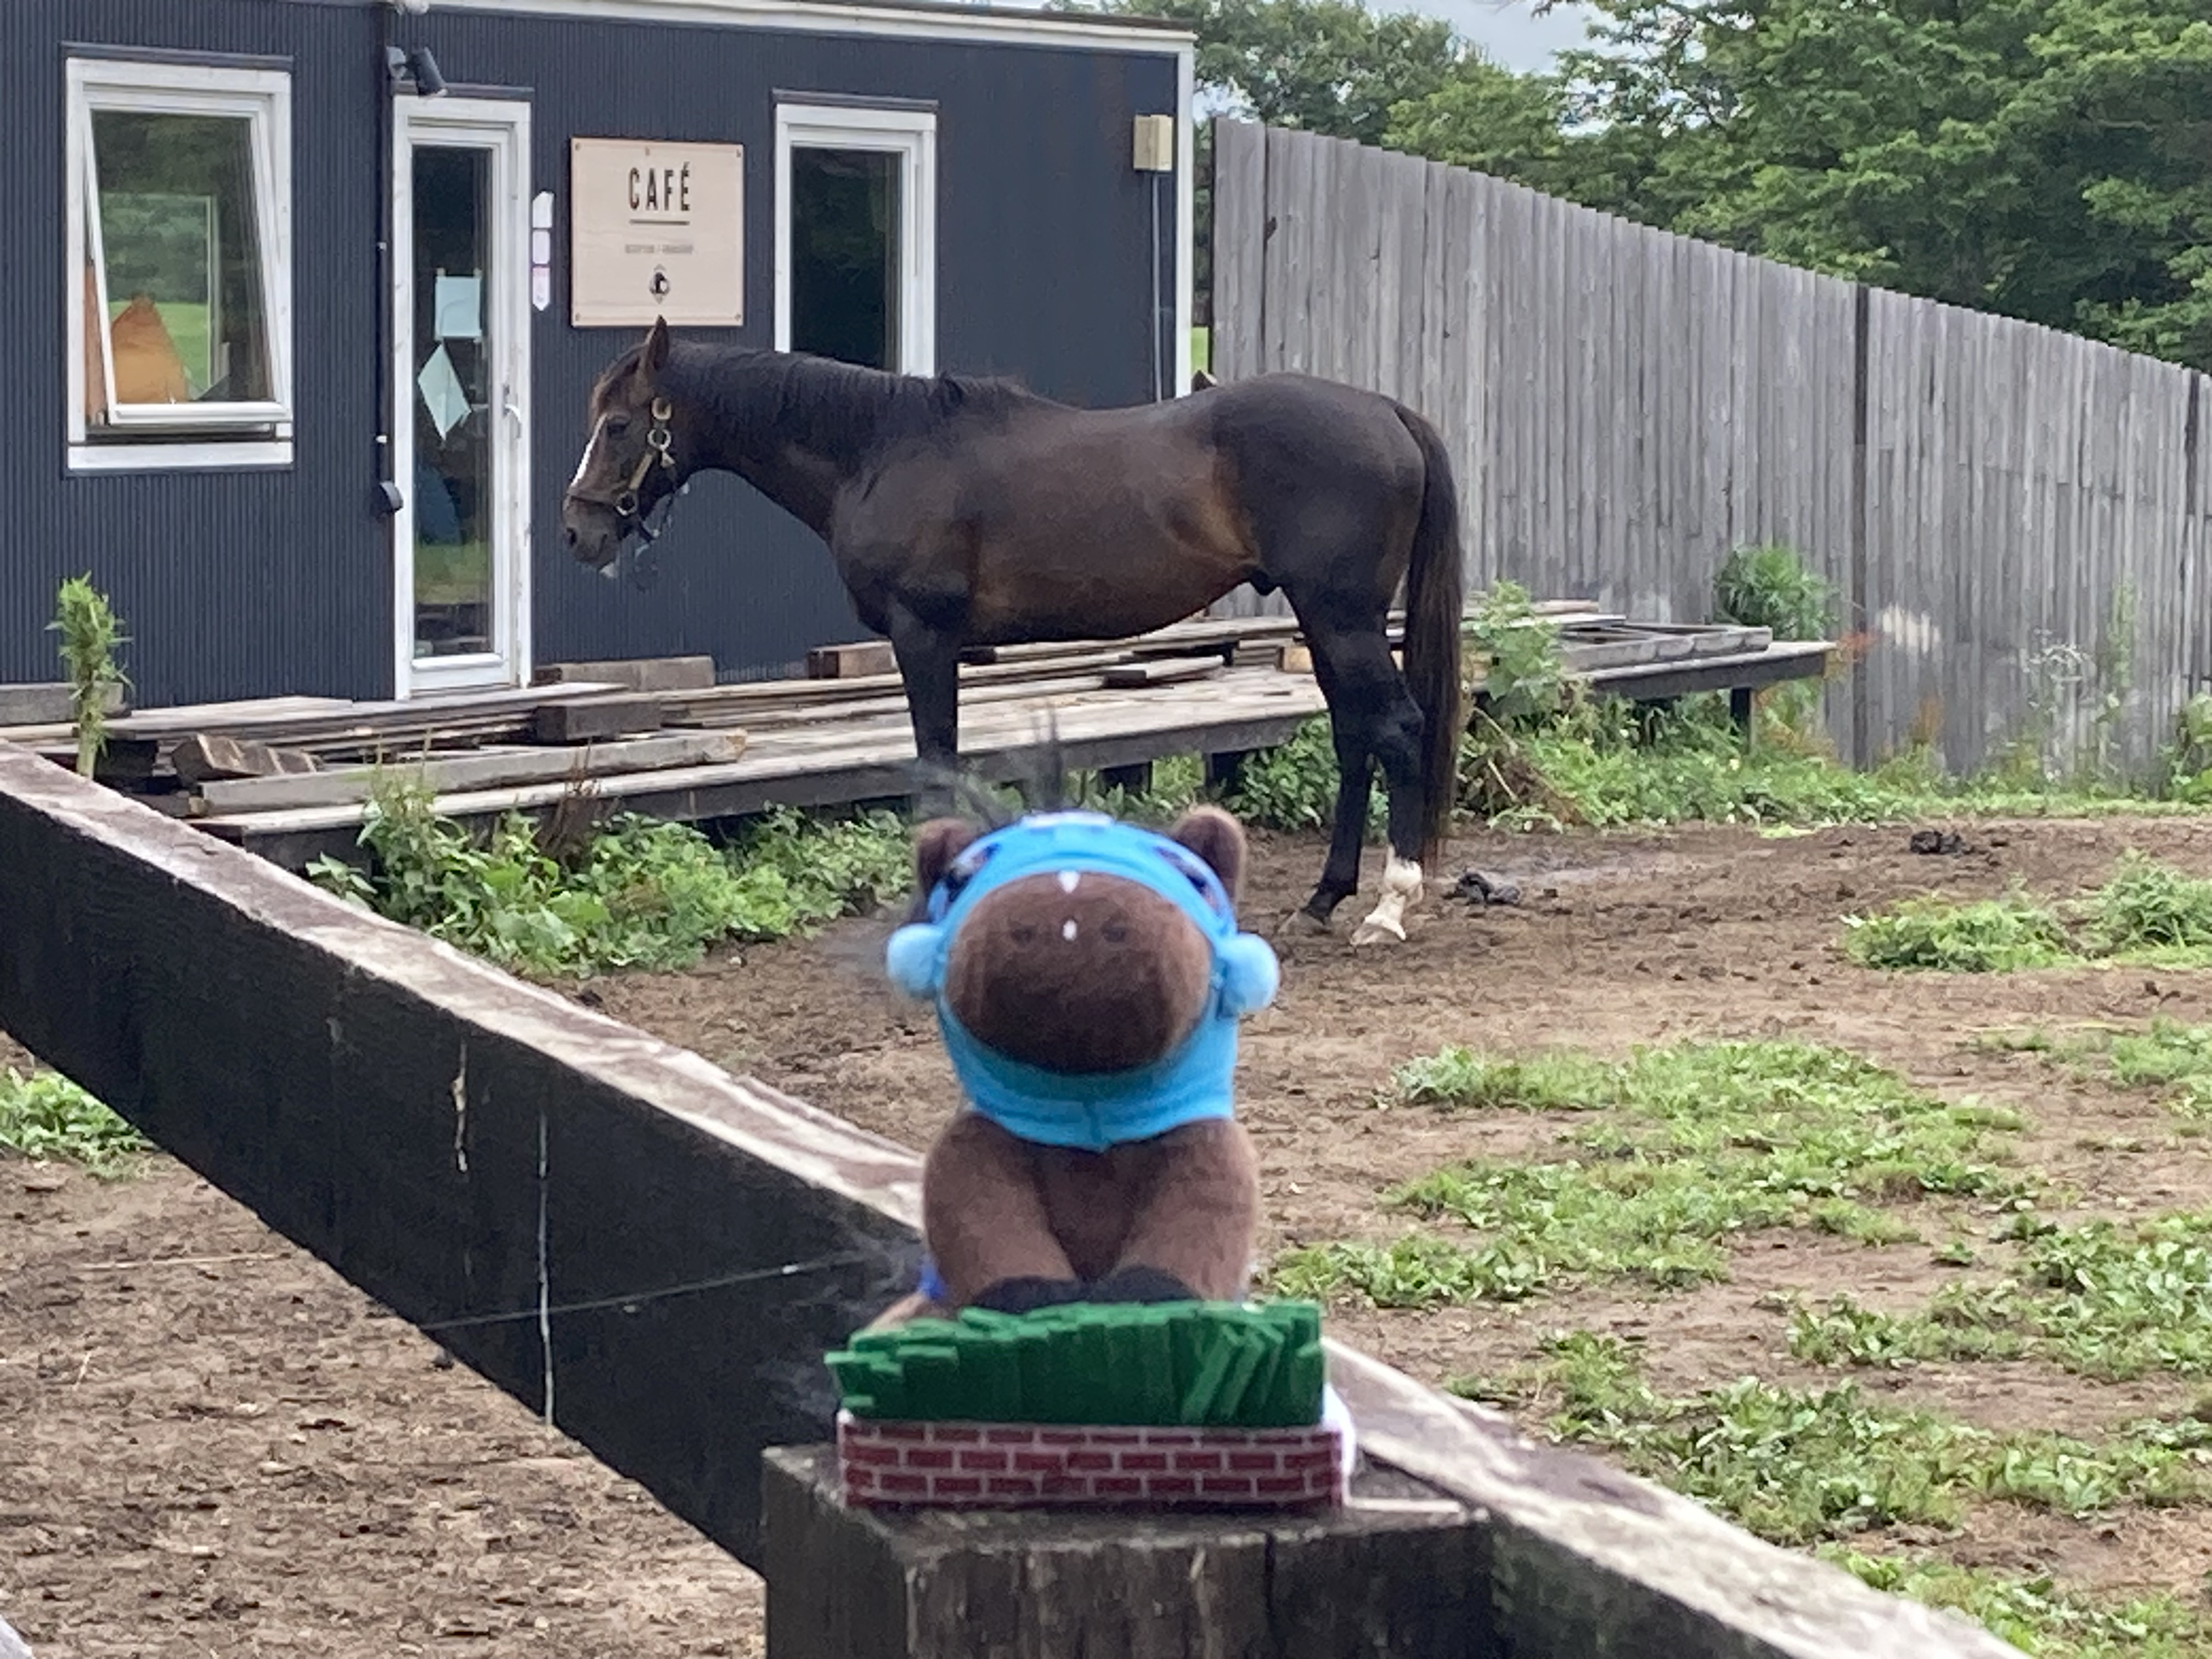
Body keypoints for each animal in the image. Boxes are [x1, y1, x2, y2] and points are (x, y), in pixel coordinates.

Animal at [558, 319, 1466, 947]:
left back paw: (1389, 906)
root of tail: (1385, 411)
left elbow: (936, 765)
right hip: (1327, 623)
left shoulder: (923, 638)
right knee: (1355, 737)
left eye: (619, 425)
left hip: (1343, 620)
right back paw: (1324, 898)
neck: (879, 452)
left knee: (1396, 728)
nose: (577, 532)